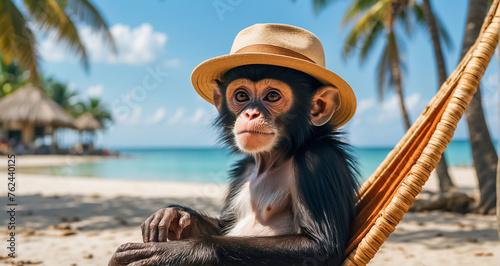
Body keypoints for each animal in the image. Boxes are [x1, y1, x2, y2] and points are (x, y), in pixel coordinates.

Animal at [109, 65, 360, 266]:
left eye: (272, 96)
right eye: (241, 95)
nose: (250, 113)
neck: (274, 159)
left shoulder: (317, 162)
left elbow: (320, 247)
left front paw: (179, 252)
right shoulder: (242, 170)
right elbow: (224, 226)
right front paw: (173, 213)